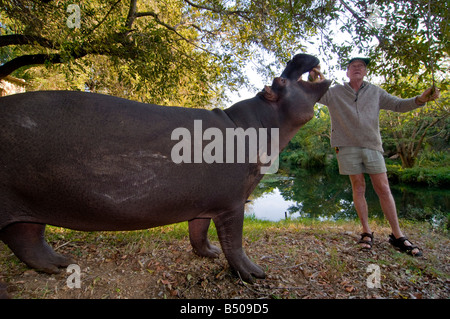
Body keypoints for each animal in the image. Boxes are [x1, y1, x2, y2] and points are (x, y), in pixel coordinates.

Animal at [0, 52, 330, 296]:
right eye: (279, 80)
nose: (299, 56)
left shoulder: (205, 204)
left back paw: (59, 264)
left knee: (27, 238)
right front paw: (254, 274)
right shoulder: (233, 203)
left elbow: (198, 232)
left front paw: (209, 253)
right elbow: (234, 242)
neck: (258, 123)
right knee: (22, 237)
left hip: (33, 204)